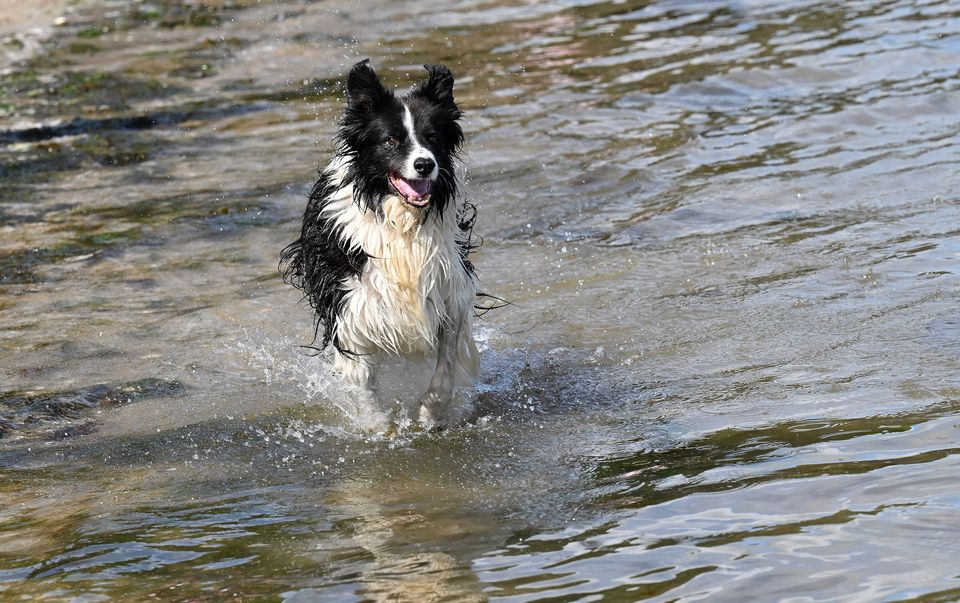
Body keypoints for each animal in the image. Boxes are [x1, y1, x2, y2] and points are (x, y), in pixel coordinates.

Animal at [282, 60, 484, 430]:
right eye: (391, 140)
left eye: (432, 137)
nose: (425, 164)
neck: (401, 224)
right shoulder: (350, 305)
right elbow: (361, 379)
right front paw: (379, 427)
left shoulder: (449, 292)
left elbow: (445, 370)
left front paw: (430, 415)